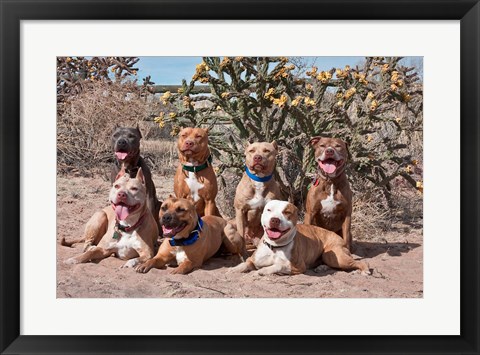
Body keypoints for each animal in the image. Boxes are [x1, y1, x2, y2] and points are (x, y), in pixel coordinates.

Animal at [231, 200, 370, 276]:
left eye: (287, 212)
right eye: (269, 210)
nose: (275, 220)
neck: (275, 247)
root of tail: (339, 236)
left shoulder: (298, 266)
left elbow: (279, 265)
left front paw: (264, 270)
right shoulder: (252, 259)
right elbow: (244, 264)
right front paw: (233, 269)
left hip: (334, 255)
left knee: (359, 262)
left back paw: (364, 270)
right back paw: (322, 267)